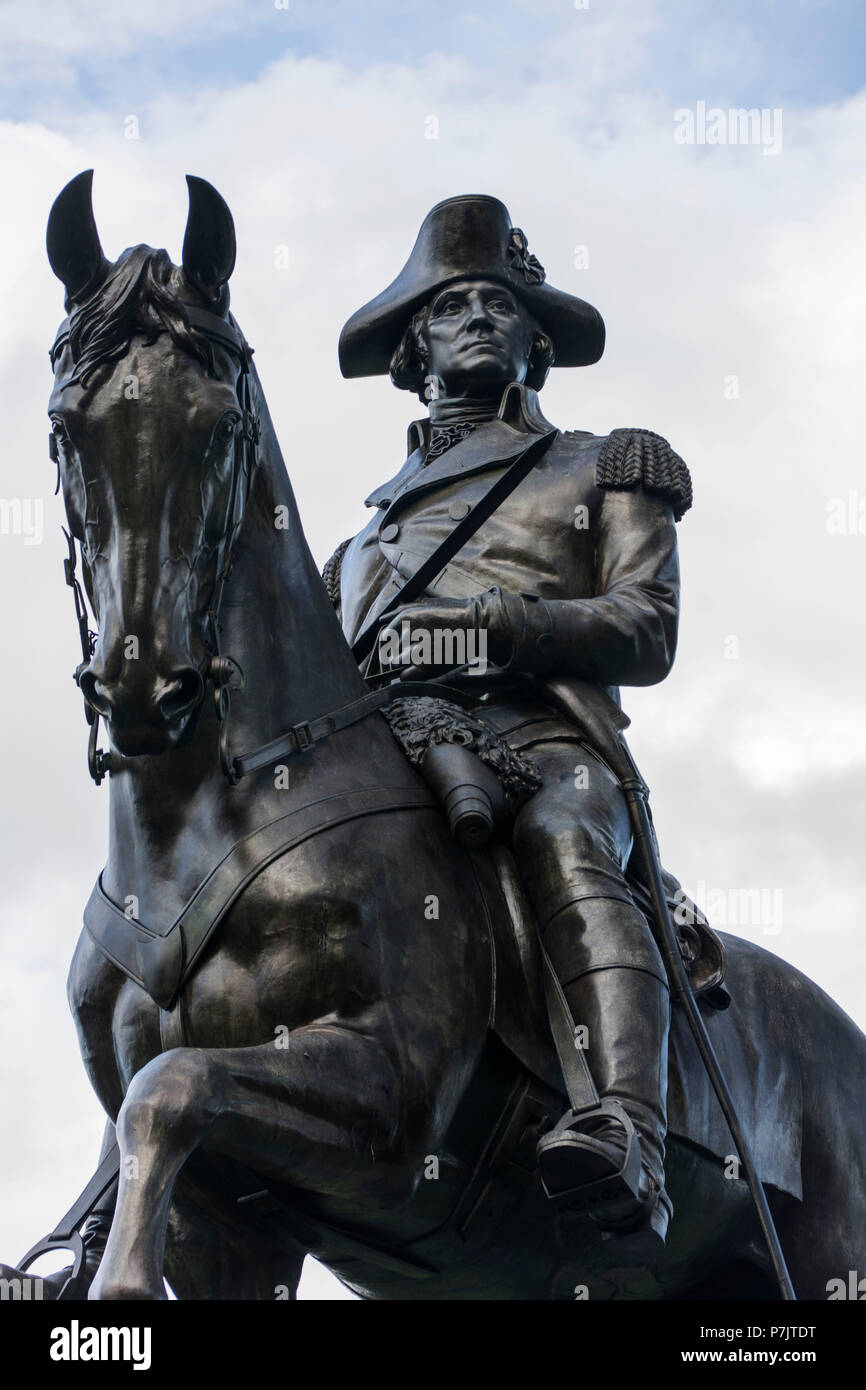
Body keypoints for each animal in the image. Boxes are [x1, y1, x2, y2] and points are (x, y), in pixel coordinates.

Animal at [3, 176, 861, 1301]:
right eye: (68, 427)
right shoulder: (229, 1215)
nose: (147, 683)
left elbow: (171, 1086)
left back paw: (613, 1141)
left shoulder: (388, 1100)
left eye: (219, 425)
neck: (195, 832)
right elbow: (162, 1118)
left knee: (578, 872)